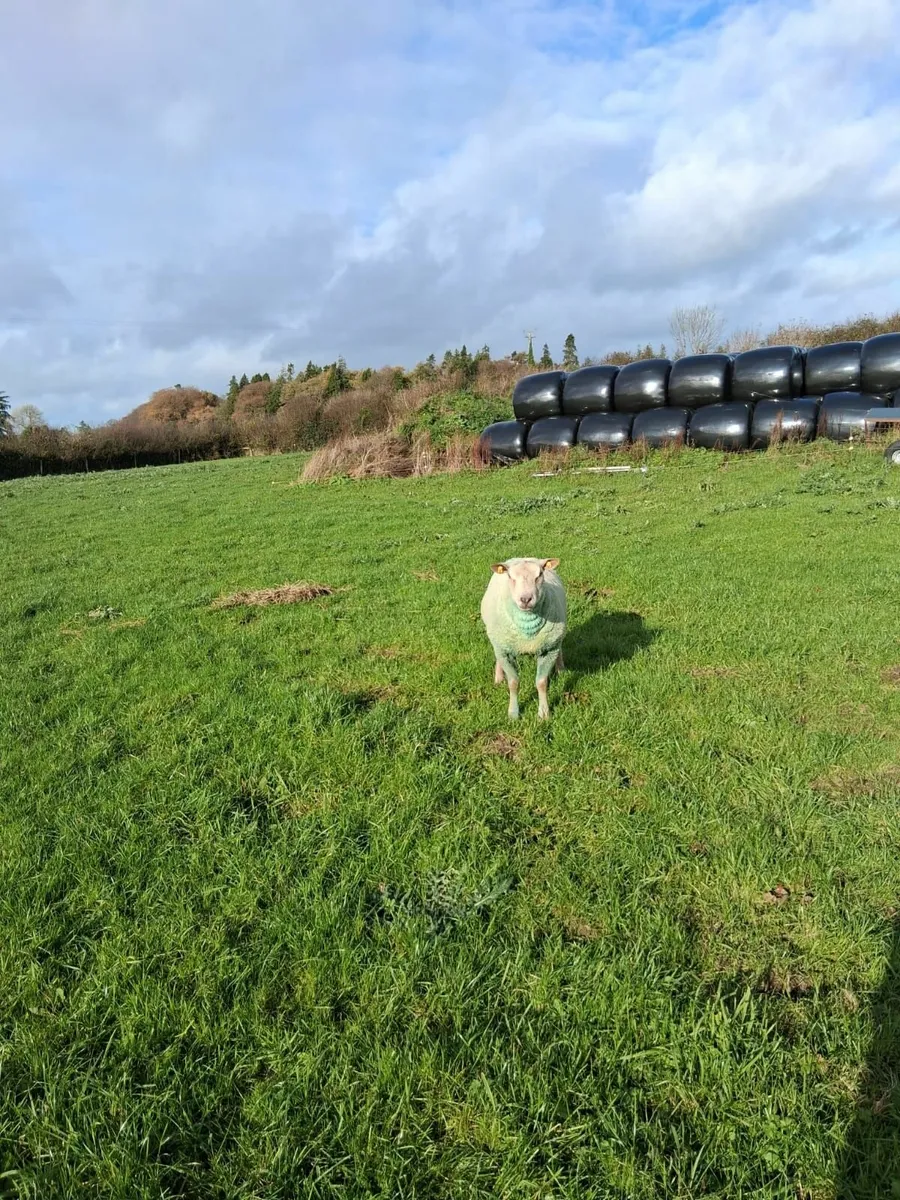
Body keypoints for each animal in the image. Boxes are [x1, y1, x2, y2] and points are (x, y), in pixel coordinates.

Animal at [480, 557, 567, 720]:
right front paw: (513, 713)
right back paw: (499, 678)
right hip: (499, 640)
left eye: (539, 575)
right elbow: (513, 683)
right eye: (510, 577)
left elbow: (541, 682)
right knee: (498, 655)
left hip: (556, 637)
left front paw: (544, 713)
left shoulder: (549, 648)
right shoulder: (505, 651)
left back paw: (561, 669)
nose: (526, 599)